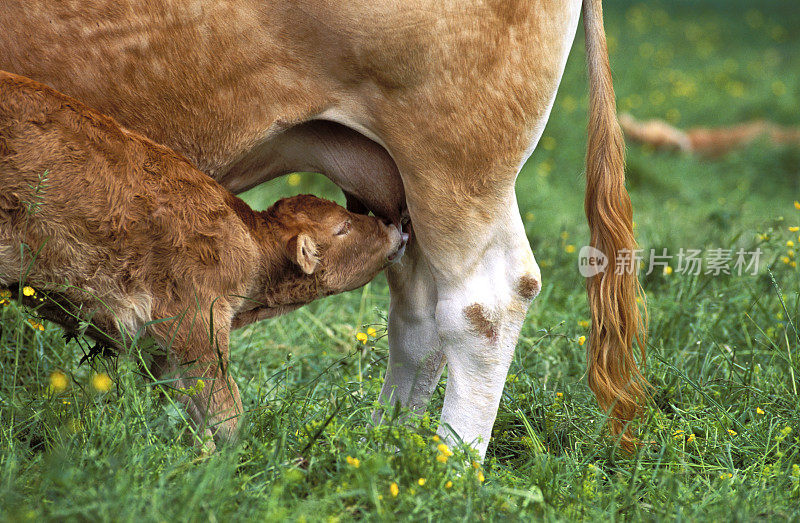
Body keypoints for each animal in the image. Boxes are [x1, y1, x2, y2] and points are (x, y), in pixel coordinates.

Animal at [0, 0, 648, 456]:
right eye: (338, 228)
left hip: (455, 165)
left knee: (485, 303)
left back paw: (451, 469)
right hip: (398, 183)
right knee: (419, 316)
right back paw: (384, 449)